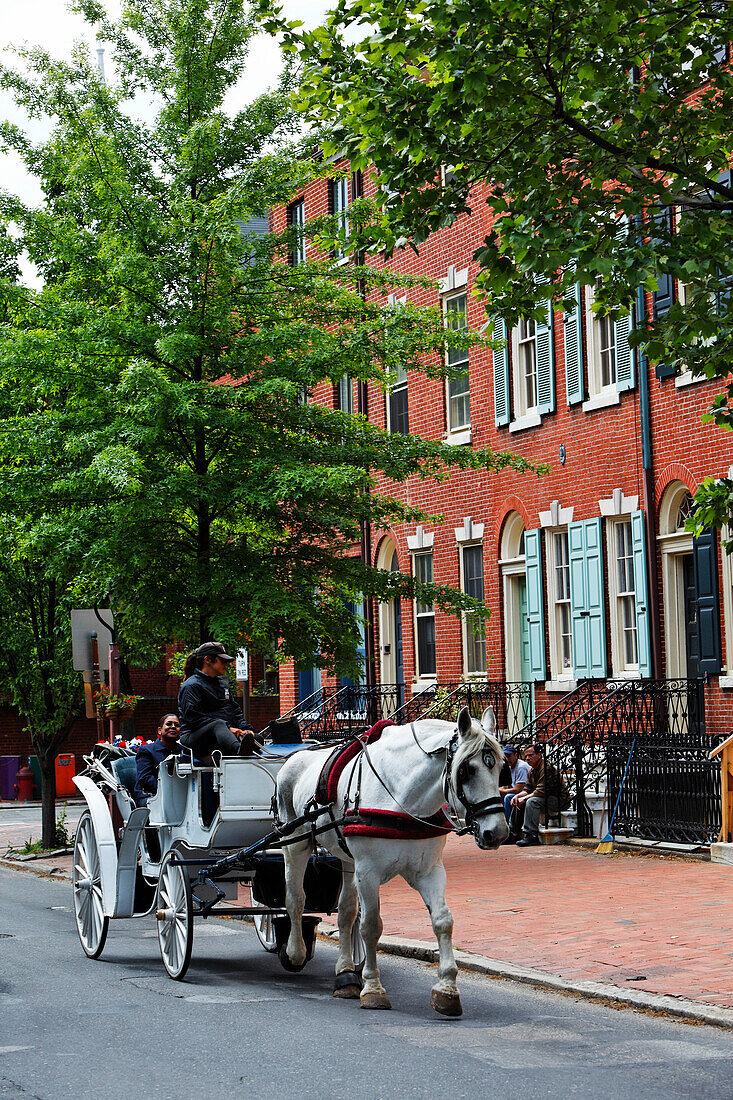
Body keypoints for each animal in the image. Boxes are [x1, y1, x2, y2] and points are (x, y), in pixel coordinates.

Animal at [270, 704, 506, 1012]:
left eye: (501, 766)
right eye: (466, 770)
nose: (497, 832)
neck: (403, 799)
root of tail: (292, 757)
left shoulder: (428, 871)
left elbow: (443, 920)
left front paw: (447, 988)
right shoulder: (368, 872)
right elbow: (371, 926)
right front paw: (372, 988)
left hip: (348, 860)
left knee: (346, 912)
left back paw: (345, 974)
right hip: (295, 845)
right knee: (295, 899)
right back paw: (295, 951)